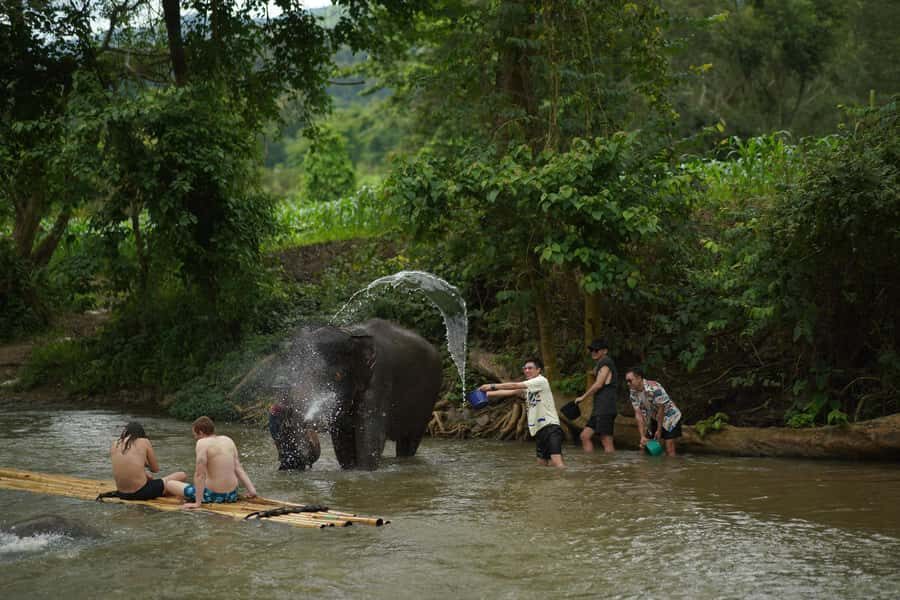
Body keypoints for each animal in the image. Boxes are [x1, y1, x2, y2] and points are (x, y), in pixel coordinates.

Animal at [267, 318, 443, 470]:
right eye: (293, 373)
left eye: (337, 376)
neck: (350, 334)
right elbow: (343, 439)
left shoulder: (379, 380)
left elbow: (370, 440)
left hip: (428, 398)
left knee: (409, 441)